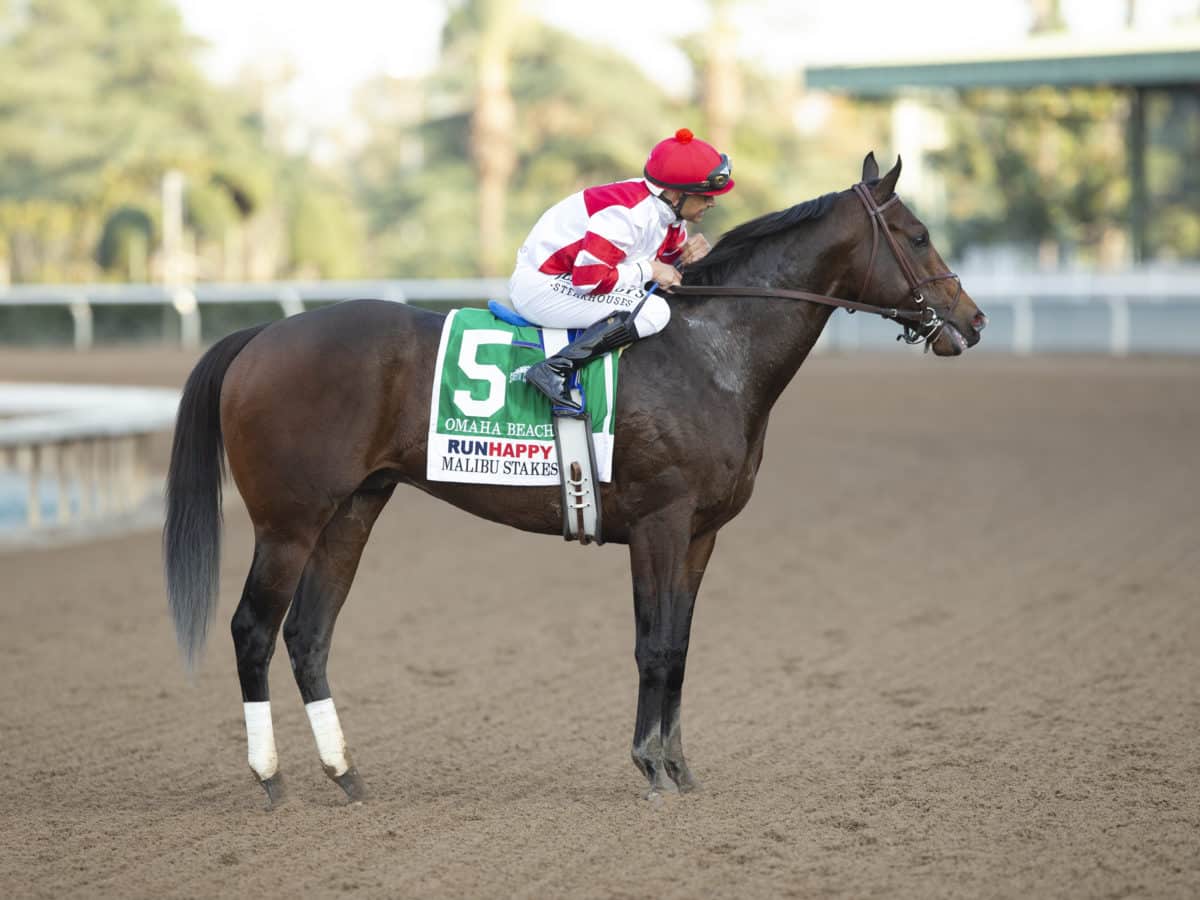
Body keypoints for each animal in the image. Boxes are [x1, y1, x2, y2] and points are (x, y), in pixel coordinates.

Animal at [162, 151, 984, 806]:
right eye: (918, 234)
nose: (972, 322)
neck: (711, 353)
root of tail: (262, 334)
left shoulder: (701, 535)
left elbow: (681, 646)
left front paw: (679, 768)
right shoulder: (659, 524)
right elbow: (655, 646)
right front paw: (652, 769)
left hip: (354, 509)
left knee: (309, 634)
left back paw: (346, 775)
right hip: (288, 521)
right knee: (253, 629)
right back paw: (271, 778)